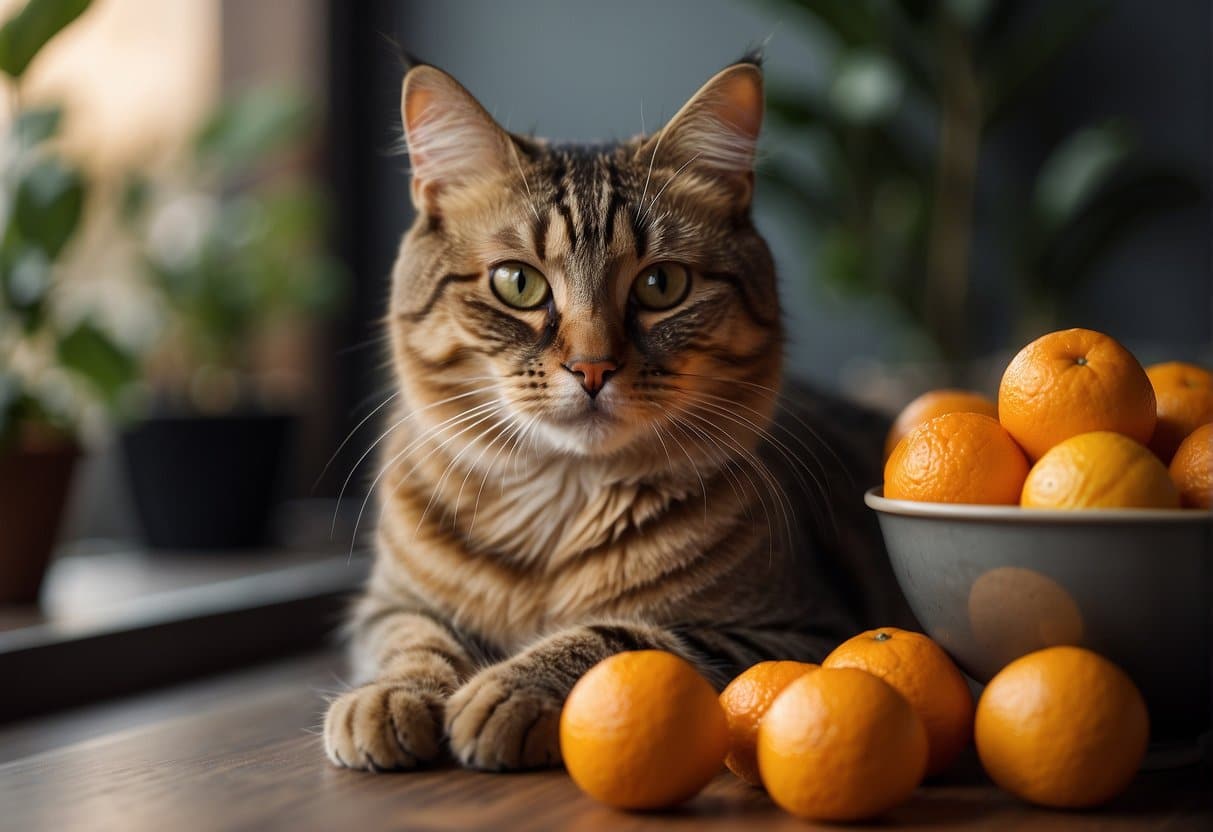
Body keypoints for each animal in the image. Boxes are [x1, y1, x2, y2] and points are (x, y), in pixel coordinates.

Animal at [322, 53, 912, 776]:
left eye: (661, 286)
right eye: (518, 283)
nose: (593, 368)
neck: (555, 503)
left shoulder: (791, 633)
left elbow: (616, 635)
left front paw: (506, 689)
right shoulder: (388, 604)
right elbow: (414, 639)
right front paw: (388, 697)